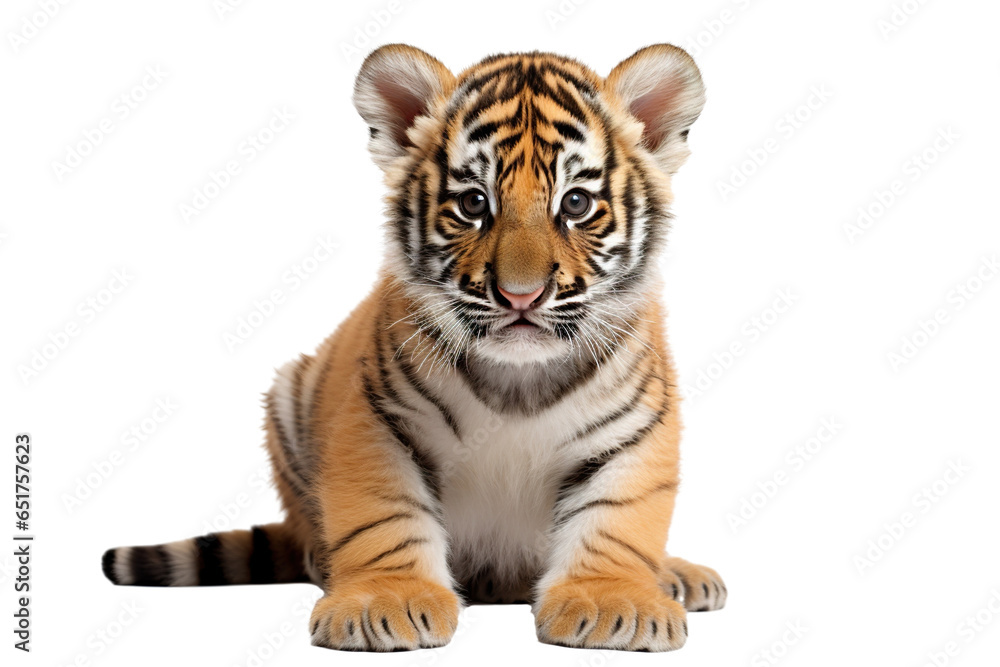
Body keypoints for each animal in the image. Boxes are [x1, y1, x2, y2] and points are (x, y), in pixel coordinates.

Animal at [102, 43, 726, 652]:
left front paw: (612, 602)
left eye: (575, 204)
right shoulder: (378, 421)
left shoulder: (635, 431)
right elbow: (385, 515)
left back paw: (678, 575)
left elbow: (618, 518)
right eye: (473, 204)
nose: (520, 295)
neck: (518, 380)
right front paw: (386, 602)